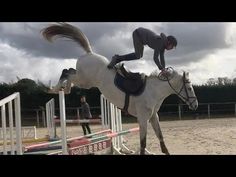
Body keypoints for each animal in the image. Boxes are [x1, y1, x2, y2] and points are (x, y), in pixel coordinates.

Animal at [41, 22, 198, 154]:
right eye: (190, 88)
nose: (195, 105)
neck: (154, 92)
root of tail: (90, 53)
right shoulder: (143, 118)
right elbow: (143, 144)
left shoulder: (153, 117)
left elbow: (161, 139)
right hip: (85, 80)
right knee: (67, 72)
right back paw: (55, 88)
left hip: (84, 80)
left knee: (70, 71)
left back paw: (63, 88)